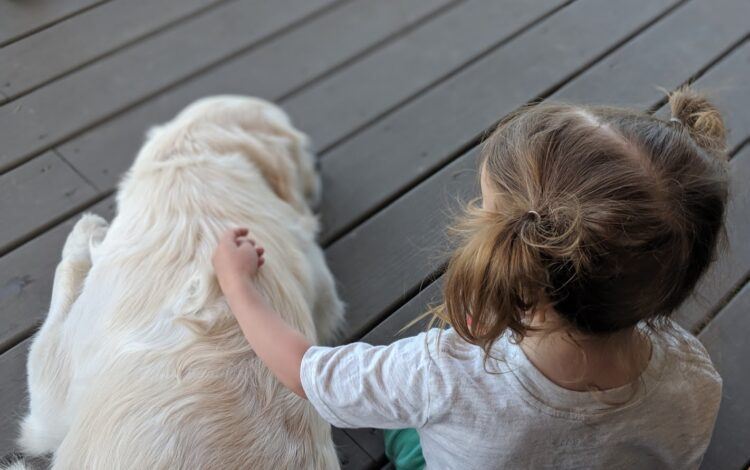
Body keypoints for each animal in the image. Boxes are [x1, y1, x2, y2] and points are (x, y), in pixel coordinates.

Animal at [11, 97, 346, 468]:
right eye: (300, 142)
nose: (318, 157)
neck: (191, 161)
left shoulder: (50, 395)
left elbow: (66, 275)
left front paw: (87, 230)